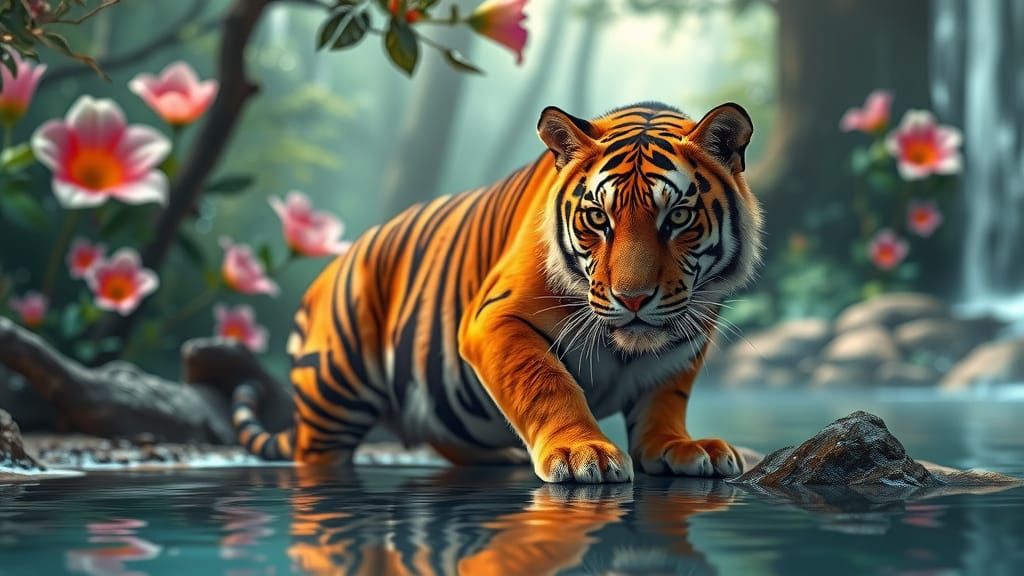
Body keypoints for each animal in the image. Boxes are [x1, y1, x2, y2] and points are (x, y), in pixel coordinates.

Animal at [232, 101, 763, 483]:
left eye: (678, 217)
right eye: (598, 219)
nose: (632, 299)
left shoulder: (688, 335)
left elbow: (665, 396)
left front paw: (681, 447)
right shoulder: (495, 318)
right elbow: (545, 381)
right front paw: (582, 452)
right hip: (336, 386)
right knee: (316, 451)